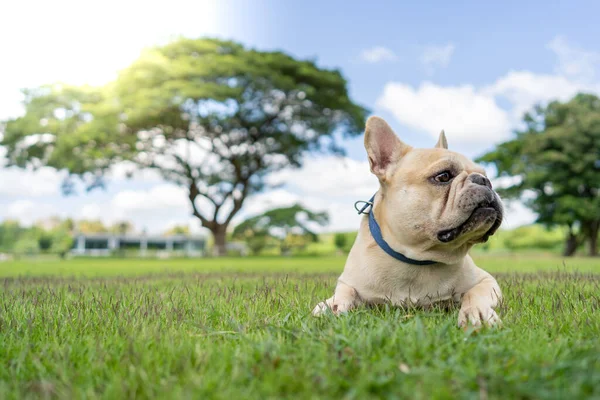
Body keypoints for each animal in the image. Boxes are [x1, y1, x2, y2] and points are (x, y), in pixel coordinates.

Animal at [312, 116, 504, 328]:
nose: (484, 180)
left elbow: (475, 293)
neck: (416, 257)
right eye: (444, 176)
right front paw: (331, 306)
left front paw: (477, 313)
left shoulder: (486, 281)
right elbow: (345, 292)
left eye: (486, 175)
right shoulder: (348, 281)